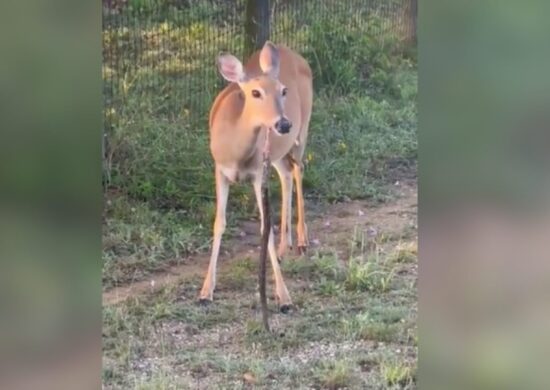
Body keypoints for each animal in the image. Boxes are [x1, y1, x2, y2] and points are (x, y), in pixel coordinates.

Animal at [198, 41, 312, 312]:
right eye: (255, 93)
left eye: (283, 90)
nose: (283, 124)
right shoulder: (220, 169)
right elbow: (219, 223)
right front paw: (206, 291)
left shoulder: (258, 173)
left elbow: (265, 227)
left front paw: (284, 297)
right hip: (278, 152)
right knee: (287, 173)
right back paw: (283, 247)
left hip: (302, 130)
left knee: (299, 169)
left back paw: (302, 240)